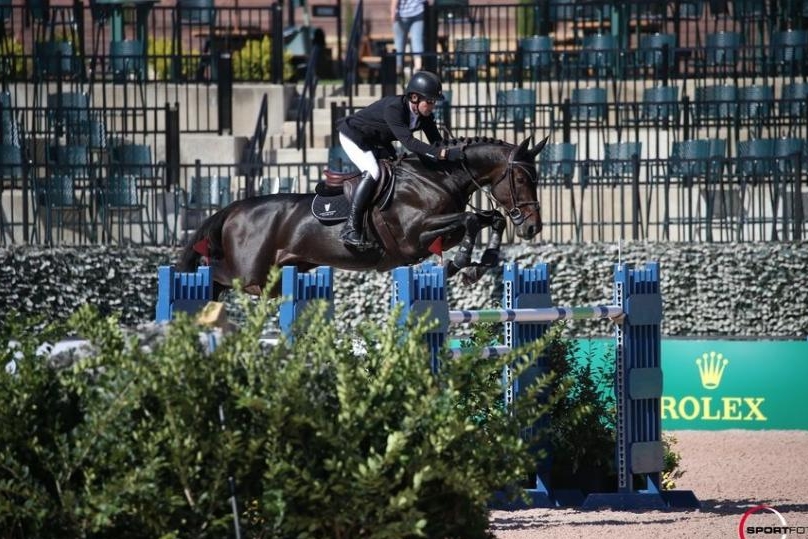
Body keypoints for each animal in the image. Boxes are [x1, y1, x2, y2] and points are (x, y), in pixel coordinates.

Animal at [177, 135, 547, 298]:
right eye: (521, 179)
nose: (533, 227)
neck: (437, 177)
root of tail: (233, 209)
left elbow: (491, 219)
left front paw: (481, 264)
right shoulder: (415, 236)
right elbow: (471, 221)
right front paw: (459, 264)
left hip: (275, 277)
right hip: (248, 273)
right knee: (213, 273)